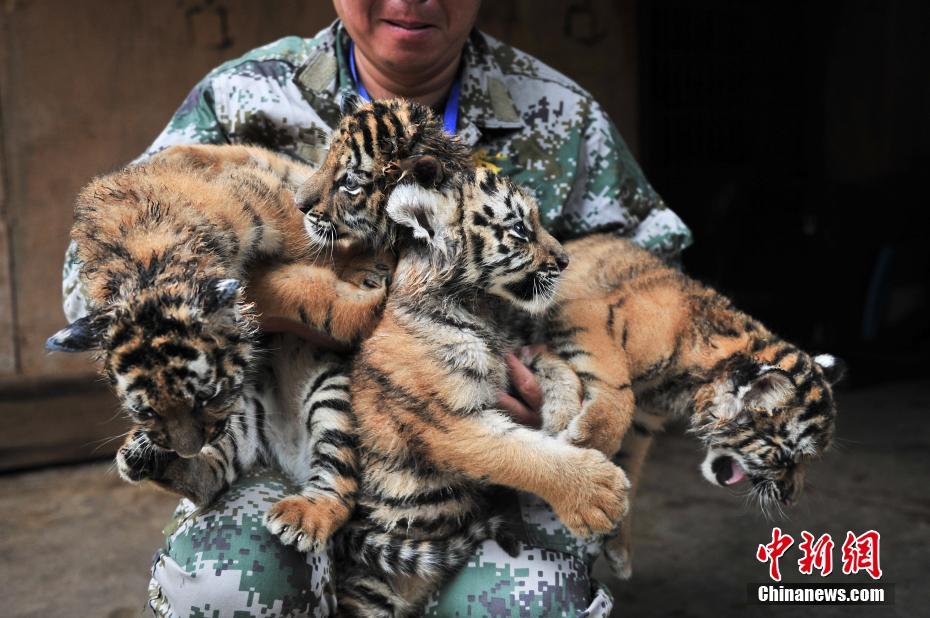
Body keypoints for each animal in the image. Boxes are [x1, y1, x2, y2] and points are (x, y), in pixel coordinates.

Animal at [331, 168, 630, 617]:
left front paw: (564, 421)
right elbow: (521, 454)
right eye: (521, 229)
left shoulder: (517, 351)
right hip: (370, 588)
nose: (565, 261)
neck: (485, 307)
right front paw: (598, 493)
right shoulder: (451, 421)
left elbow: (558, 368)